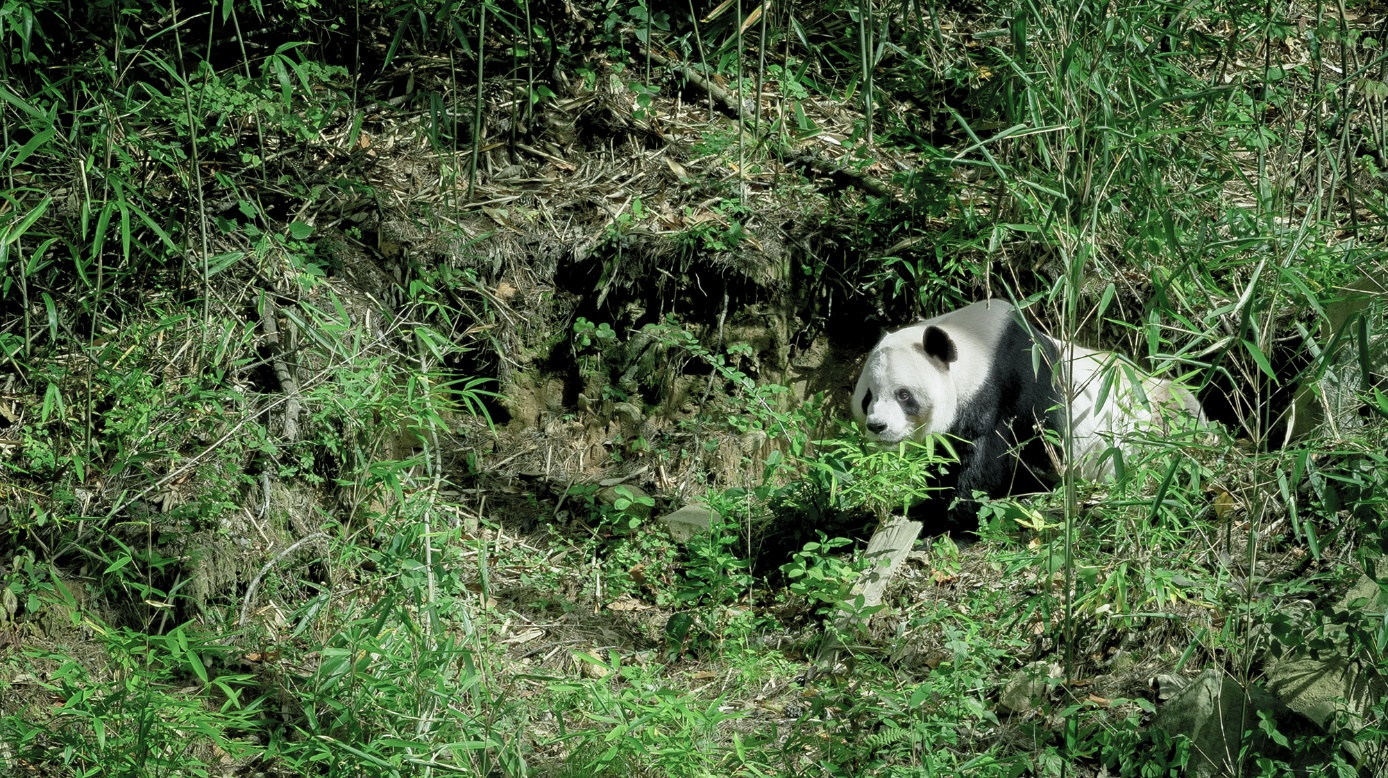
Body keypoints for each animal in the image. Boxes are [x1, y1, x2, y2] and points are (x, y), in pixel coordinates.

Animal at [843, 296, 1204, 526]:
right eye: (867, 397)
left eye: (904, 395)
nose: (877, 426)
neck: (975, 346)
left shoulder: (1010, 386)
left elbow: (991, 461)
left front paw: (950, 516)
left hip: (1157, 427)